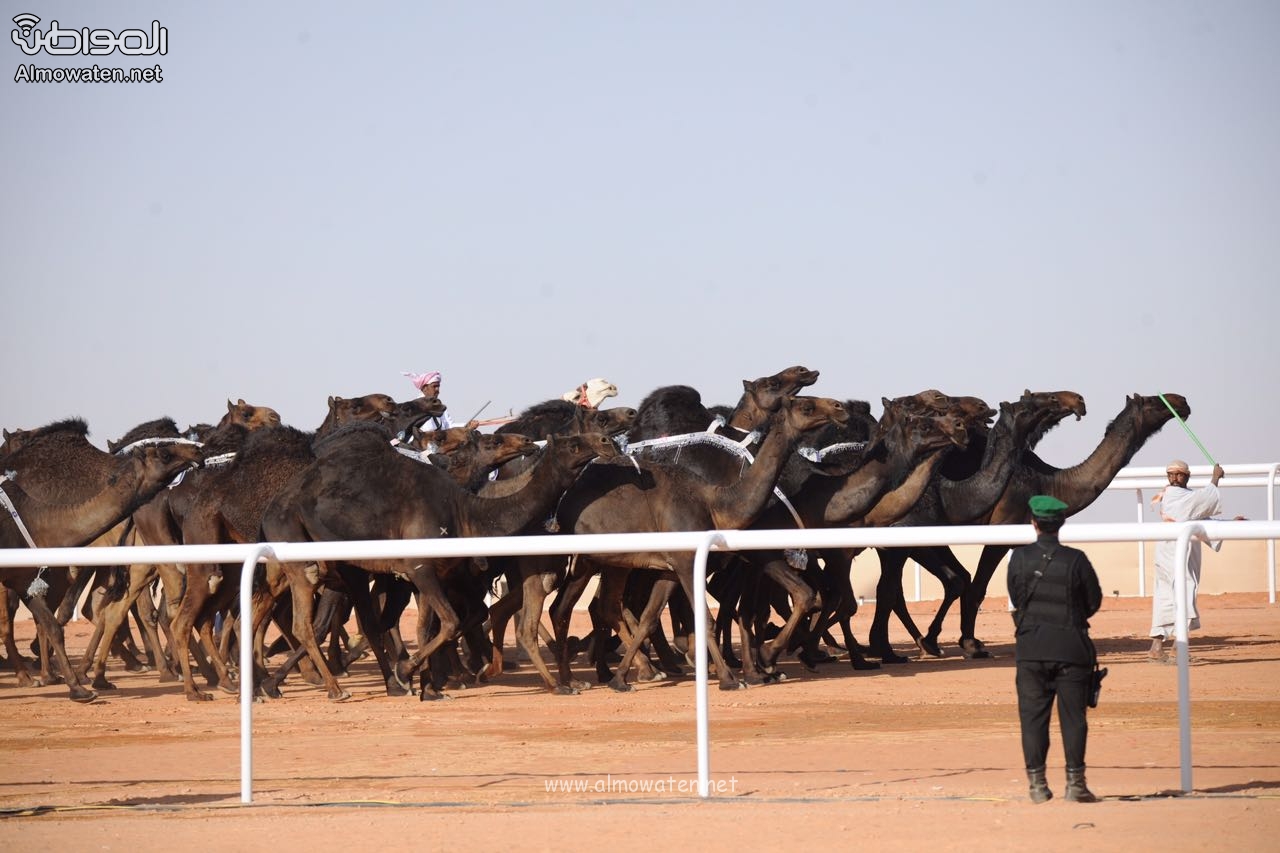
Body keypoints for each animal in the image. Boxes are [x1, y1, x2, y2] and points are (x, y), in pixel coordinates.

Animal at [542, 394, 849, 696]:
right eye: (806, 406)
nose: (839, 407)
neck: (713, 502)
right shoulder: (687, 561)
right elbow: (705, 619)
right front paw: (732, 678)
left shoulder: (669, 568)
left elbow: (650, 617)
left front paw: (621, 680)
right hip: (586, 559)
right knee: (568, 608)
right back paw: (571, 681)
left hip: (611, 562)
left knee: (591, 607)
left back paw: (610, 674)